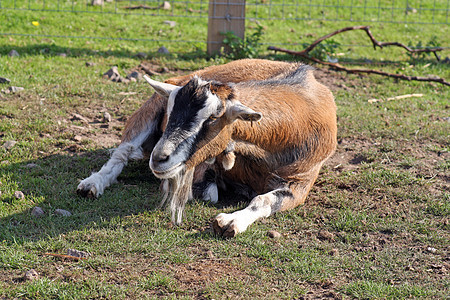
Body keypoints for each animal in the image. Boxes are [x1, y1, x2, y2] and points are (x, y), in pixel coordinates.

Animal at [77, 59, 298, 198]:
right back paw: (91, 185)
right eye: (170, 112)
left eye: (213, 118)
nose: (160, 158)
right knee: (123, 152)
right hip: (148, 109)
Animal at [144, 62, 338, 237]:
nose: (159, 159)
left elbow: (263, 199)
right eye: (169, 112)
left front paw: (231, 221)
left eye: (213, 117)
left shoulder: (301, 180)